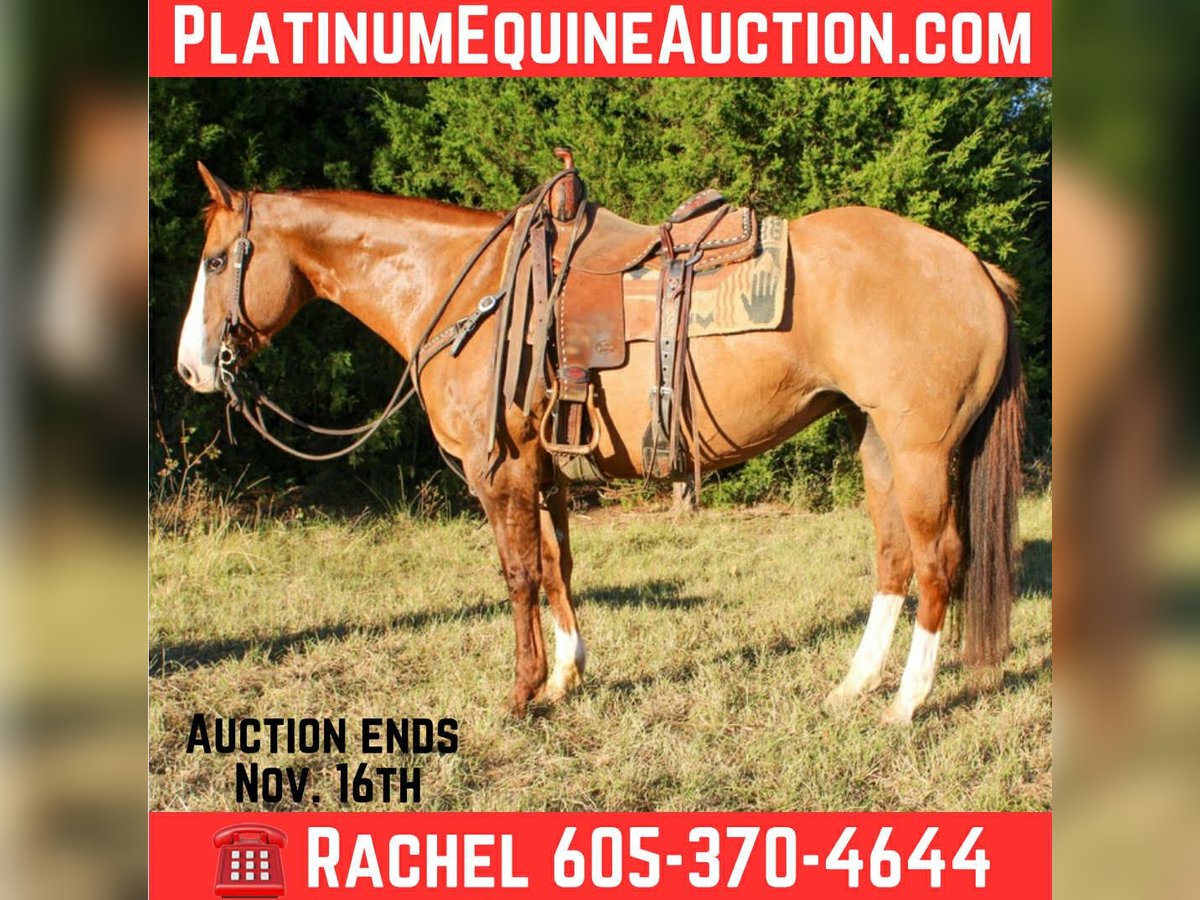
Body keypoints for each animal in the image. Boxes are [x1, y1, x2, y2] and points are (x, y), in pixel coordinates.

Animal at [176, 161, 1024, 724]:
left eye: (216, 260)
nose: (191, 368)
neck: (465, 290)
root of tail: (975, 266)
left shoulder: (500, 471)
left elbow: (519, 575)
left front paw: (521, 694)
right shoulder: (543, 470)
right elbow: (558, 569)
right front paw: (565, 678)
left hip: (920, 451)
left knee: (939, 561)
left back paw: (906, 704)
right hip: (872, 439)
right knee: (893, 559)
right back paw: (853, 686)